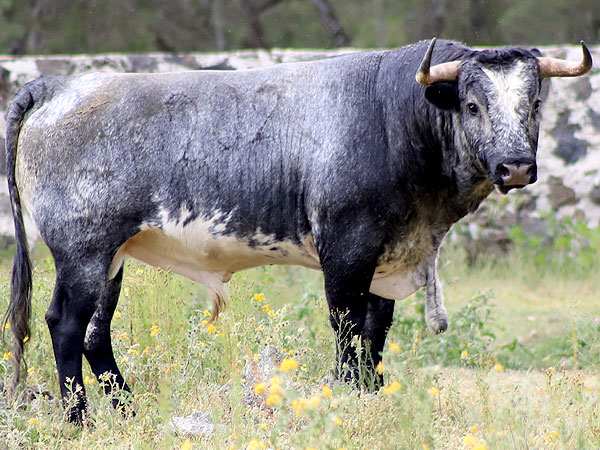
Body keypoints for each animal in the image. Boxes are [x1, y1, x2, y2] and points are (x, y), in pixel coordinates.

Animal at [2, 38, 592, 422]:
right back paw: (81, 419)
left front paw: (372, 396)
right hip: (83, 252)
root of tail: (59, 85)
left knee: (95, 335)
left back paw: (131, 410)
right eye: (471, 104)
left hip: (114, 258)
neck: (394, 116)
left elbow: (375, 334)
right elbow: (349, 332)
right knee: (65, 326)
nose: (516, 167)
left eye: (535, 103)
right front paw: (351, 399)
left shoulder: (385, 257)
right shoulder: (348, 251)